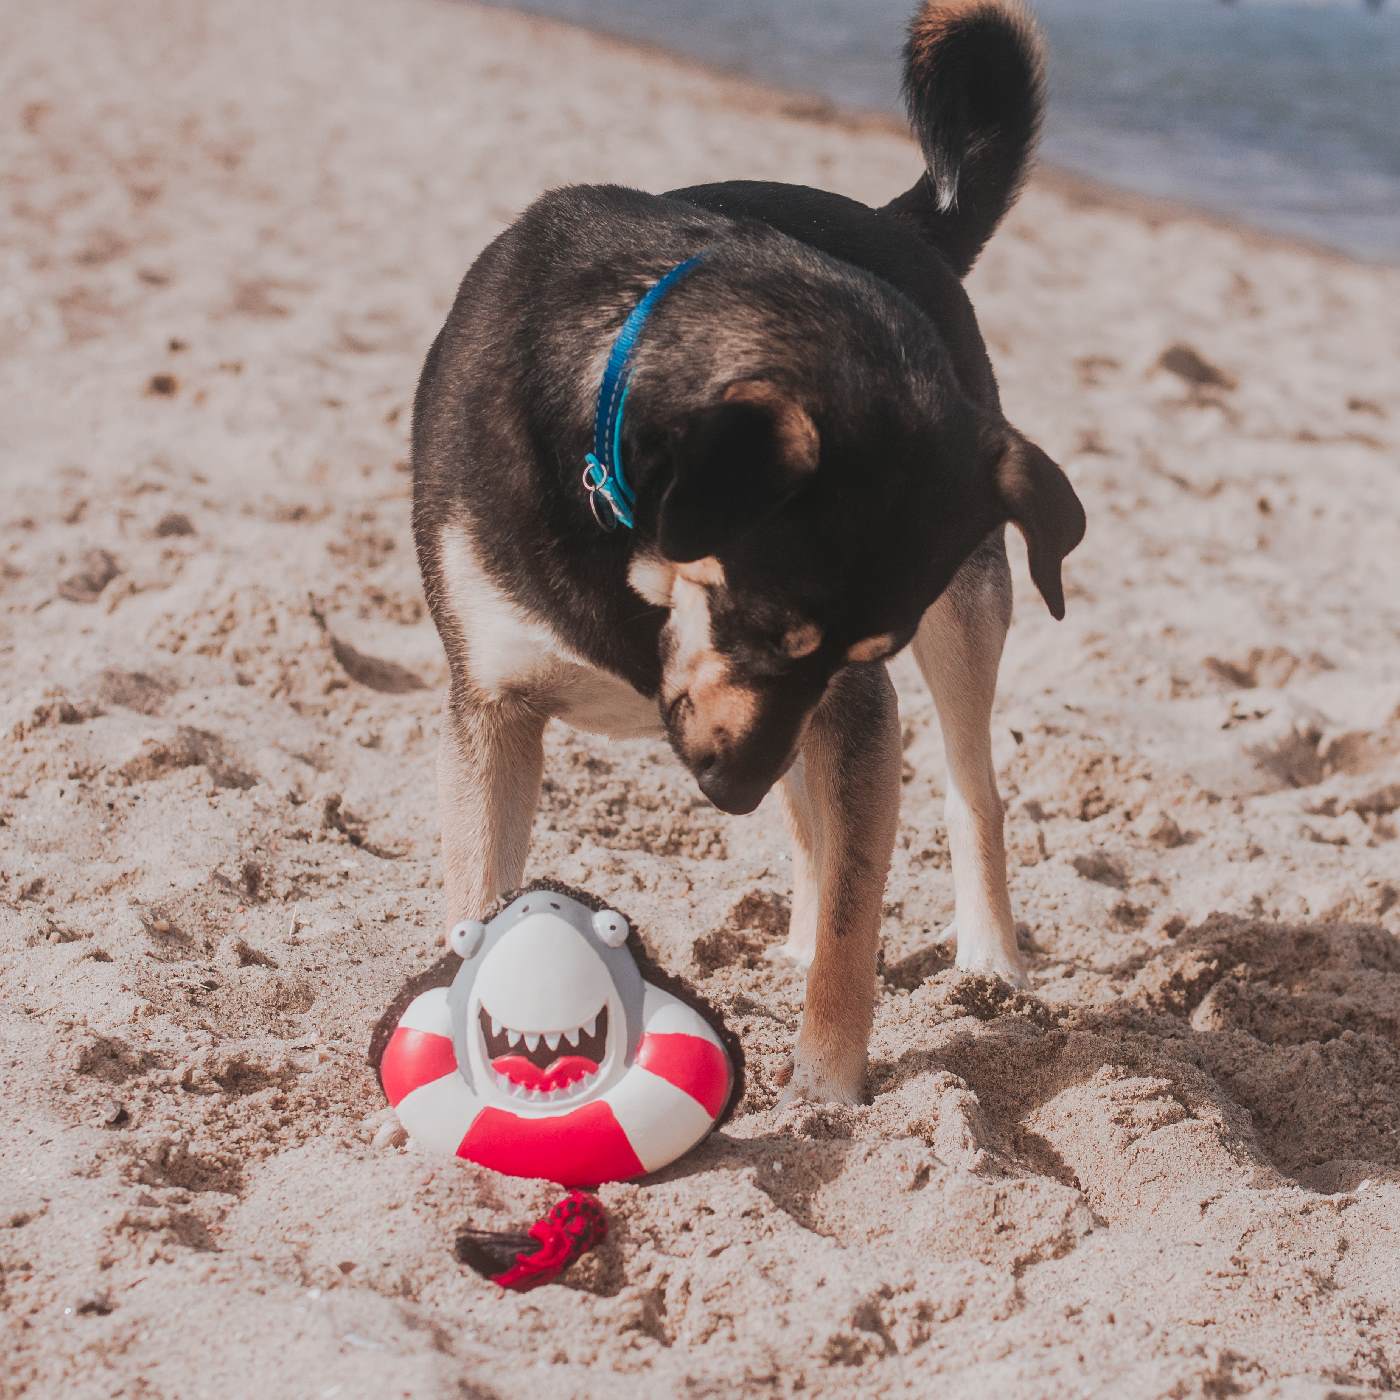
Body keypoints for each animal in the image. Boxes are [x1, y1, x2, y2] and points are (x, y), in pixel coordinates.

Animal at [408, 2, 1086, 1103]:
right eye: (763, 623)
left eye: (858, 646)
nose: (727, 795)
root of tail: (903, 220)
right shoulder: (493, 708)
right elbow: (477, 894)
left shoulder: (852, 699)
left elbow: (856, 916)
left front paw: (827, 1088)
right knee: (817, 822)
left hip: (962, 620)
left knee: (965, 790)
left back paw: (990, 958)